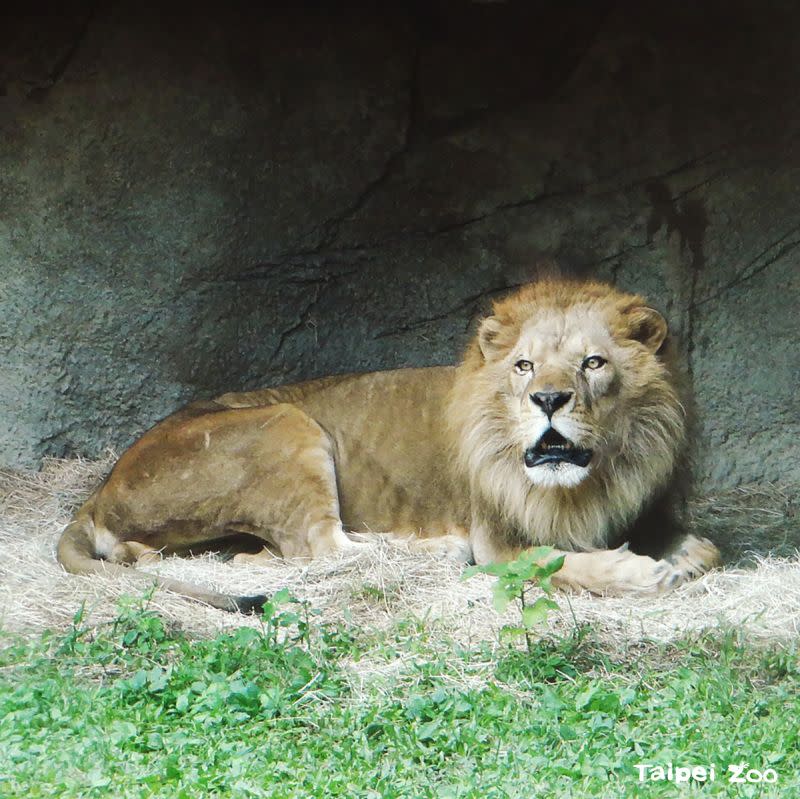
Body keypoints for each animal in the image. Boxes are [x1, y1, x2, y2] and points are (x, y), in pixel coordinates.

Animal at [56, 280, 720, 612]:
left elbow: (706, 550)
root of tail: (97, 492)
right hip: (287, 423)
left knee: (268, 556)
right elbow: (554, 561)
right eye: (525, 366)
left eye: (593, 363)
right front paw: (637, 572)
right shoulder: (498, 543)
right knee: (324, 546)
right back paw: (435, 550)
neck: (591, 480)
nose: (550, 400)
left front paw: (677, 557)